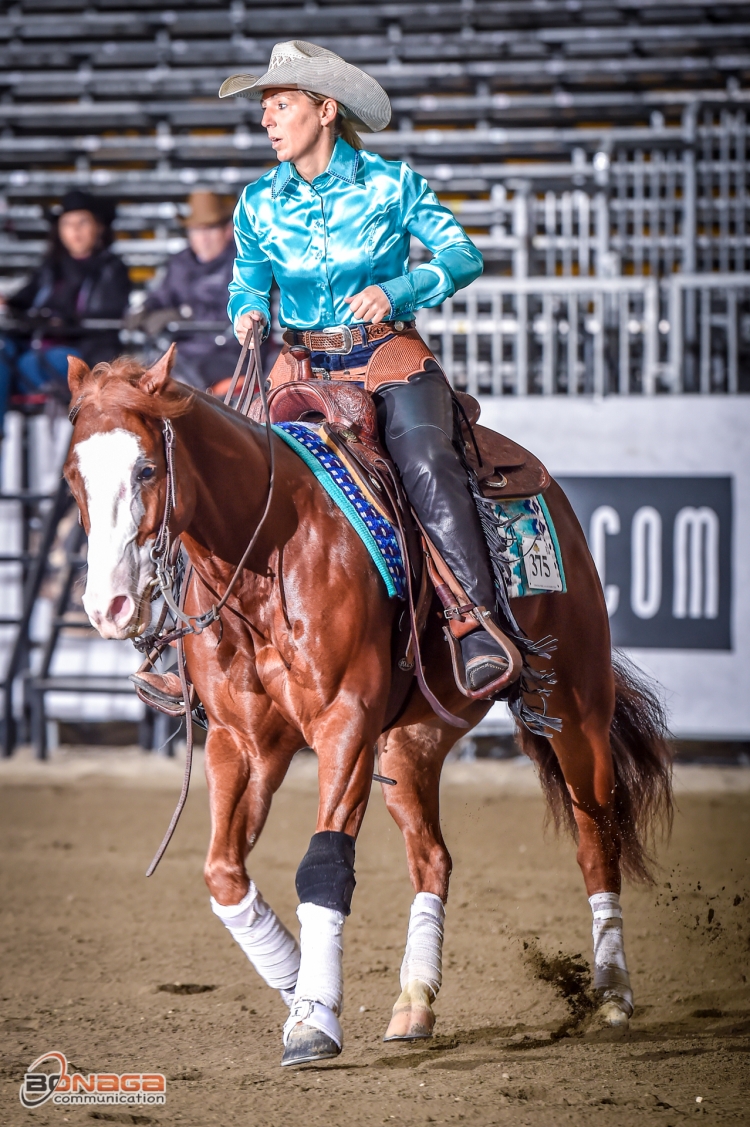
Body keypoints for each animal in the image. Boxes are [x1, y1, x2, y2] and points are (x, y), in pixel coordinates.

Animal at [64, 351, 667, 1063]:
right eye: (73, 474)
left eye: (146, 469)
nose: (107, 607)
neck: (268, 550)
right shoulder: (243, 743)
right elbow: (223, 874)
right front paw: (297, 984)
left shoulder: (344, 722)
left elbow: (323, 863)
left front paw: (313, 1018)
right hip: (412, 742)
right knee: (431, 856)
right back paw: (414, 1003)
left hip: (575, 707)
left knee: (595, 839)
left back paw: (611, 992)